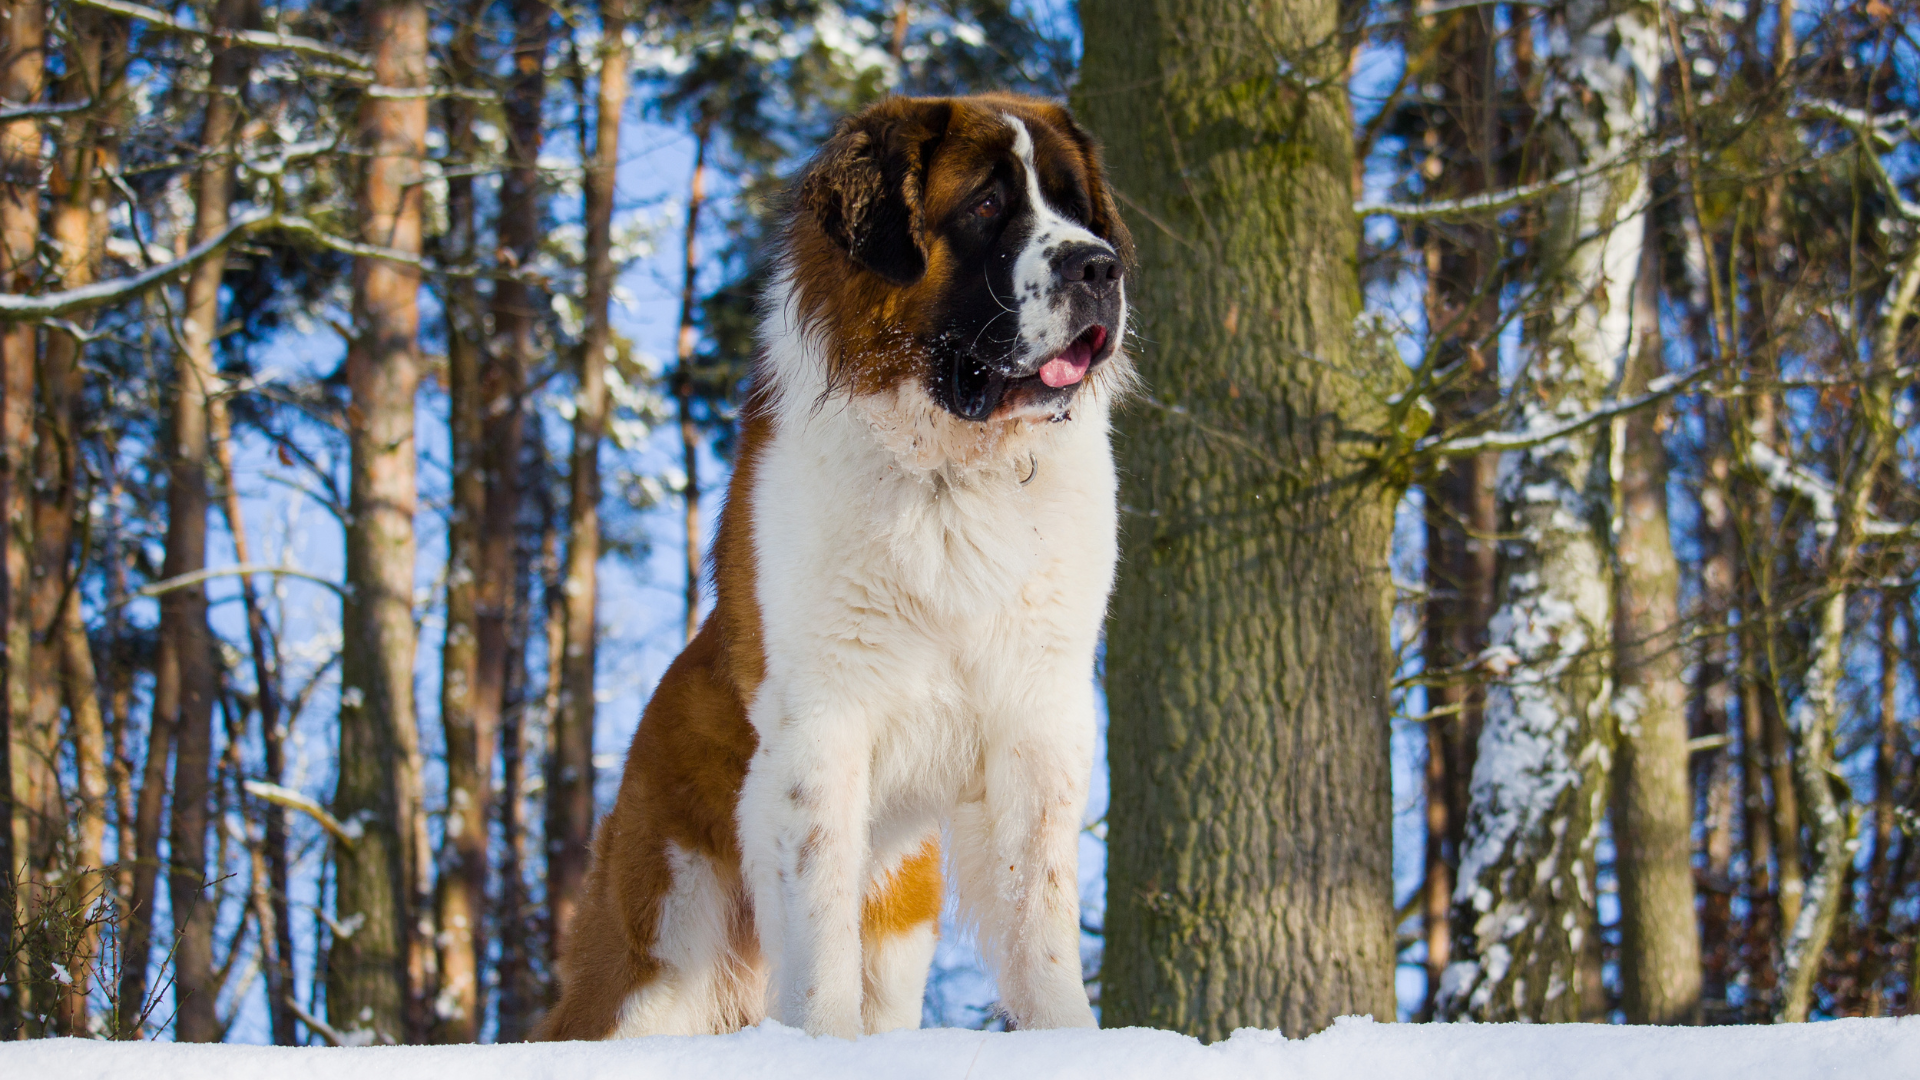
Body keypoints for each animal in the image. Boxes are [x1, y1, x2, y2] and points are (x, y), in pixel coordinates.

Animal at [541, 92, 1128, 1037]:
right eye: (987, 207)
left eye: (1078, 209)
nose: (1099, 266)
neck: (950, 472)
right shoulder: (822, 721)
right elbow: (817, 928)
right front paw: (820, 1043)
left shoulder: (1039, 714)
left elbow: (1039, 908)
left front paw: (1067, 1038)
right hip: (659, 942)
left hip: (899, 912)